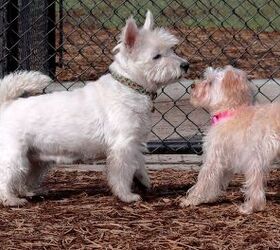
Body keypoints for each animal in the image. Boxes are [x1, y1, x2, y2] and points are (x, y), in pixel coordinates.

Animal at [0, 10, 188, 205]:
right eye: (157, 56)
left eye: (171, 50)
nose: (185, 65)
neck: (129, 87)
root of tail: (6, 104)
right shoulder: (122, 146)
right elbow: (122, 175)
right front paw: (126, 196)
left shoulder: (133, 142)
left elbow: (140, 163)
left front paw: (144, 180)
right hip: (14, 155)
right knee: (5, 177)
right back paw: (11, 200)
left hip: (35, 159)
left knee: (24, 179)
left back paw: (29, 192)